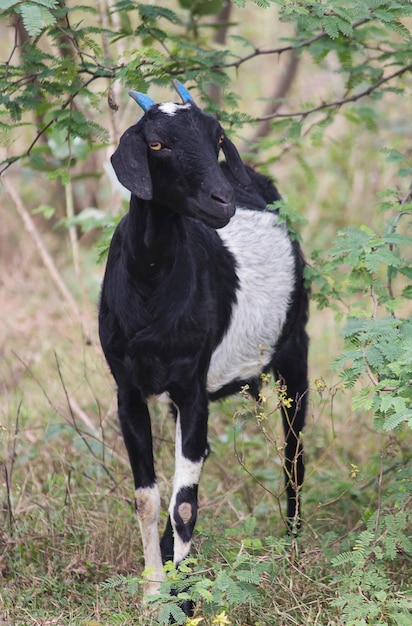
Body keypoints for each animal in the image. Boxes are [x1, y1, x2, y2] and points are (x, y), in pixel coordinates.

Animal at [98, 80, 308, 612]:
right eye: (157, 144)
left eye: (216, 138)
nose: (222, 201)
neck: (151, 288)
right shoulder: (128, 389)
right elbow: (148, 497)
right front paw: (155, 590)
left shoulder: (192, 385)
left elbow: (186, 504)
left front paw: (185, 599)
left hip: (294, 348)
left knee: (294, 452)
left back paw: (295, 545)